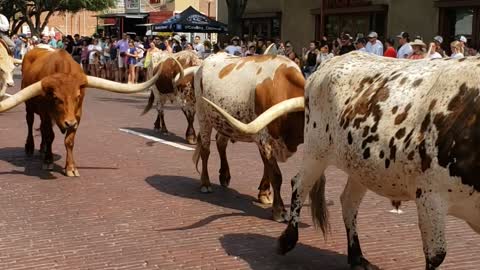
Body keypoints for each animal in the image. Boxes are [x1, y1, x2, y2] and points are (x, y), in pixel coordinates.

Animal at [0, 47, 180, 176]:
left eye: (78, 96)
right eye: (56, 98)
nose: (69, 123)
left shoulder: (78, 116)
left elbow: (69, 141)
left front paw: (71, 168)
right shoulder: (45, 113)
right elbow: (49, 135)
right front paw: (49, 161)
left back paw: (43, 149)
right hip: (29, 107)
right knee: (31, 124)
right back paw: (31, 147)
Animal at [191, 52, 304, 221]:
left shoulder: (267, 143)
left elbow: (267, 168)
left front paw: (264, 194)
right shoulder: (264, 140)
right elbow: (276, 175)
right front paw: (279, 211)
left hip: (225, 122)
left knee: (220, 142)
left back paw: (224, 176)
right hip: (203, 116)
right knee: (205, 150)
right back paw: (205, 183)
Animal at [204, 51, 480, 270]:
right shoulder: (430, 198)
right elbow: (436, 255)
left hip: (361, 165)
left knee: (347, 202)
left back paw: (356, 257)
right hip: (316, 150)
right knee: (299, 184)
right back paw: (287, 240)